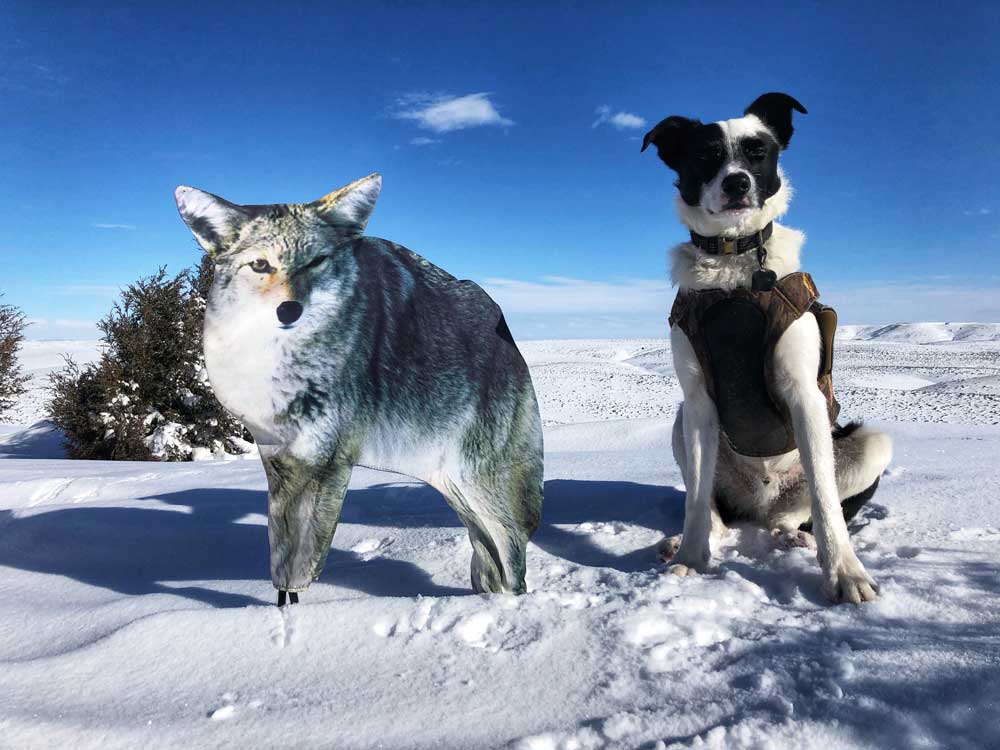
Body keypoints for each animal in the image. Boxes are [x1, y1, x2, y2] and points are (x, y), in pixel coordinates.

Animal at [644, 97, 896, 608]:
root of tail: (760, 503)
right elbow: (694, 499)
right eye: (705, 155)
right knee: (712, 508)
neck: (733, 266)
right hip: (683, 423)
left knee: (799, 511)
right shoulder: (698, 402)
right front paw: (691, 559)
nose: (737, 182)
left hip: (871, 444)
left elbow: (825, 499)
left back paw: (793, 536)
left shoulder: (804, 395)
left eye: (758, 151)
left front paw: (845, 573)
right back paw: (685, 540)